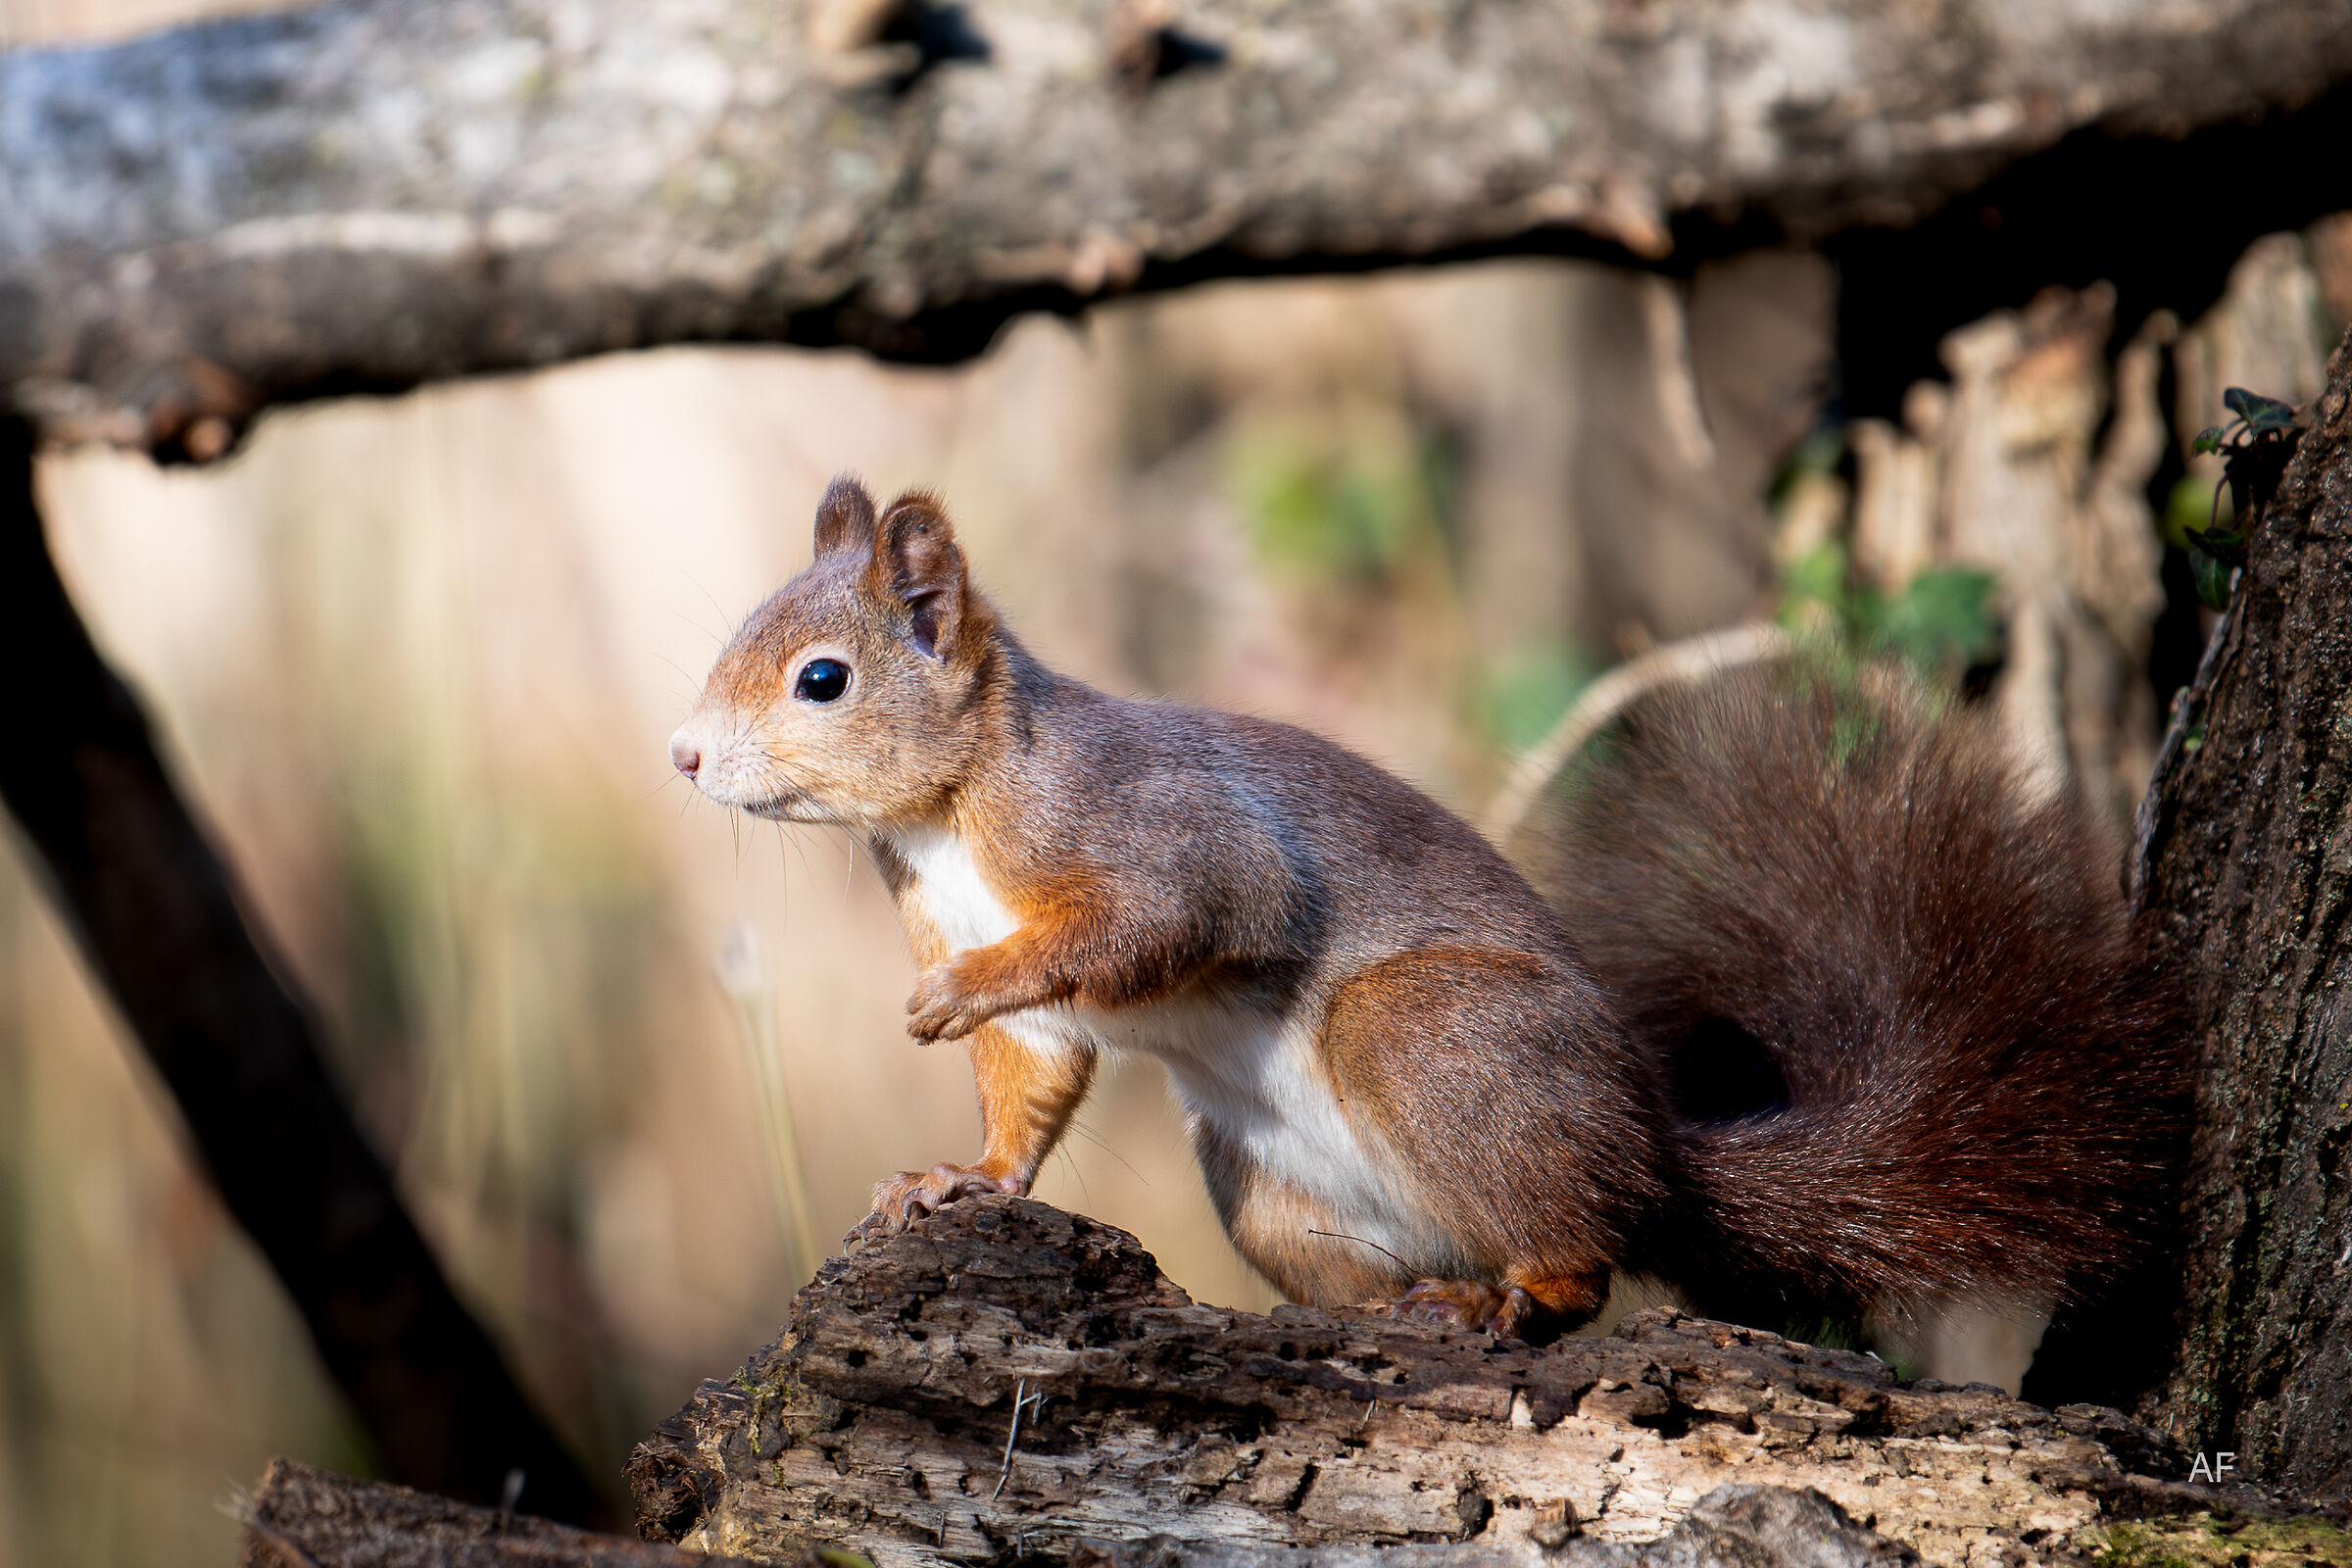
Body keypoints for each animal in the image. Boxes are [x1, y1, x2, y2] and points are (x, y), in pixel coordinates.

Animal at [668, 475, 2184, 1343]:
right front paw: (963, 1176)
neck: (948, 814)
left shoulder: (1145, 826)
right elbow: (1033, 1082)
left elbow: (1163, 915)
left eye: (820, 679)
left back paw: (1522, 1290)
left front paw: (957, 997)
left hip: (1426, 1032)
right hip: (1267, 1190)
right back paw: (1417, 1301)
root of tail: (1651, 1148)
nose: (681, 758)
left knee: (1588, 1256)